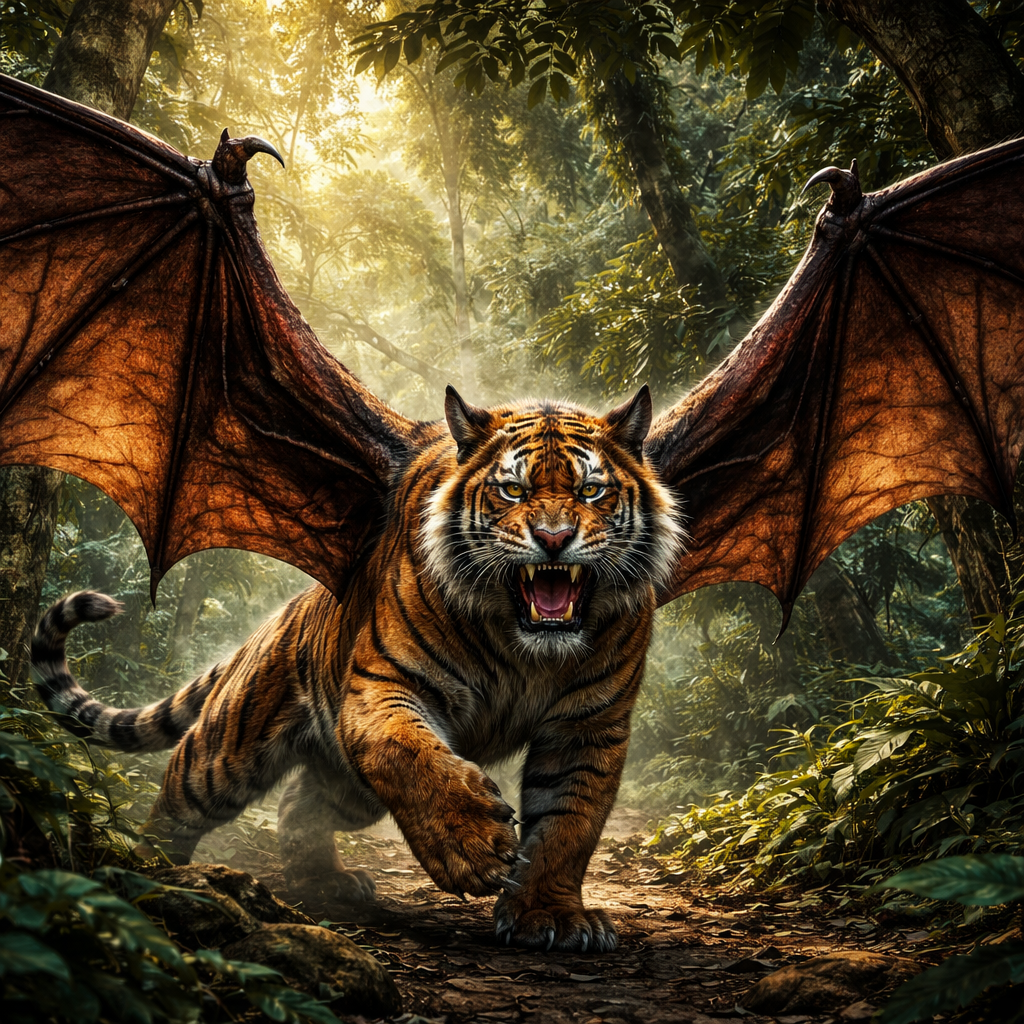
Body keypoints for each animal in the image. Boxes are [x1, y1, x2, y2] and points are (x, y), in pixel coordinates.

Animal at [32, 385, 682, 953]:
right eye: (512, 491)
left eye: (592, 490)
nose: (553, 539)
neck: (526, 645)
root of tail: (281, 616)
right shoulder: (384, 685)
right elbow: (407, 753)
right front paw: (473, 846)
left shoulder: (589, 726)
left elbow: (568, 823)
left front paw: (547, 916)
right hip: (227, 752)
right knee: (177, 797)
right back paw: (147, 871)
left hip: (349, 790)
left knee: (300, 805)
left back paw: (325, 882)